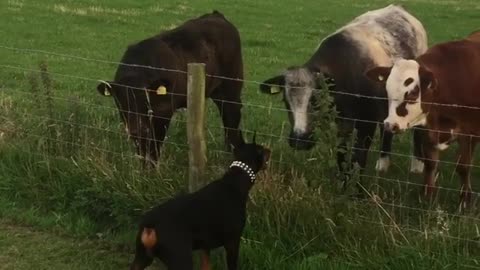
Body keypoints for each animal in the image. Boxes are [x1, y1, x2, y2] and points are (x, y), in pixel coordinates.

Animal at [97, 11, 244, 165]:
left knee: (232, 116)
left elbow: (154, 145)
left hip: (231, 87)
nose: (136, 129)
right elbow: (142, 147)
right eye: (121, 101)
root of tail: (216, 15)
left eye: (145, 100)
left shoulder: (164, 112)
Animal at [130, 133, 270, 270]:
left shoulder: (205, 247)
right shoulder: (232, 242)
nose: (269, 150)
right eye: (262, 150)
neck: (234, 182)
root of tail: (150, 224)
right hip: (180, 258)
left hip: (142, 258)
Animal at [258, 4, 428, 188]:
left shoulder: (366, 121)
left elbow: (359, 157)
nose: (299, 140)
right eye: (285, 100)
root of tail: (399, 9)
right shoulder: (342, 121)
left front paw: (357, 189)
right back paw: (383, 163)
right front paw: (343, 184)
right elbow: (342, 153)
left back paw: (417, 165)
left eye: (315, 99)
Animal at [366, 30, 480, 207]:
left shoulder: (470, 133)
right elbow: (430, 163)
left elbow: (463, 166)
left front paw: (465, 201)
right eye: (387, 90)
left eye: (413, 93)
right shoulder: (427, 130)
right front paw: (427, 196)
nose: (390, 124)